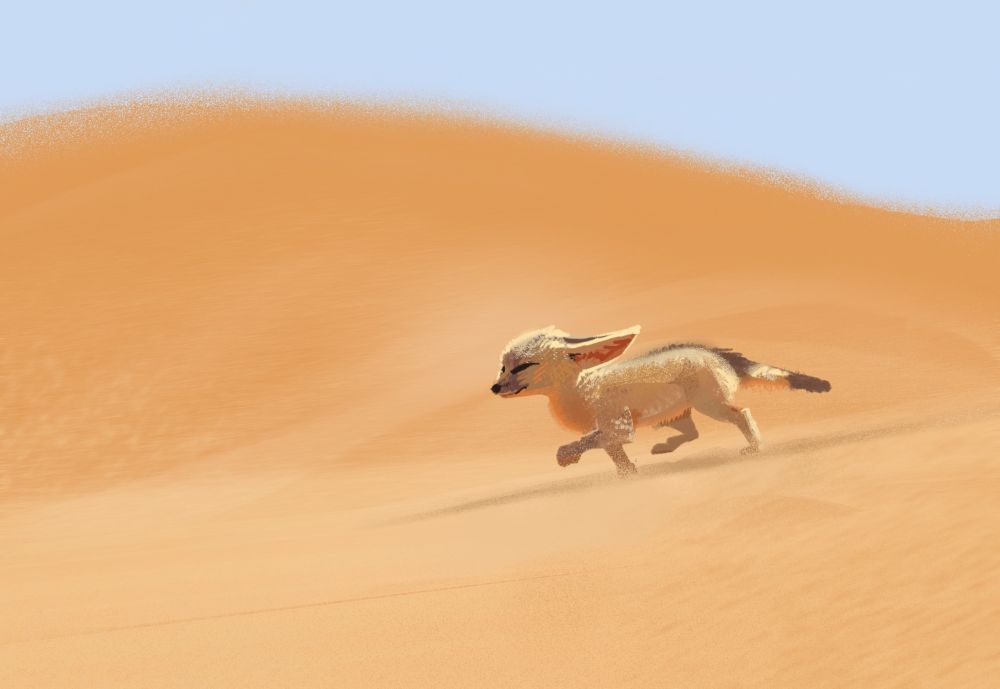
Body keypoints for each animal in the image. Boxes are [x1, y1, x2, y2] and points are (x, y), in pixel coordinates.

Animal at [490, 325, 830, 476]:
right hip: (679, 411)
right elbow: (613, 453)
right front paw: (627, 474)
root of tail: (717, 353)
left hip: (710, 404)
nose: (494, 388)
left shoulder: (617, 425)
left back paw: (755, 447)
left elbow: (585, 442)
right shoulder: (613, 431)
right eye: (503, 367)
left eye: (523, 367)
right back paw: (664, 447)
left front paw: (568, 457)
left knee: (741, 413)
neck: (581, 386)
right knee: (692, 432)